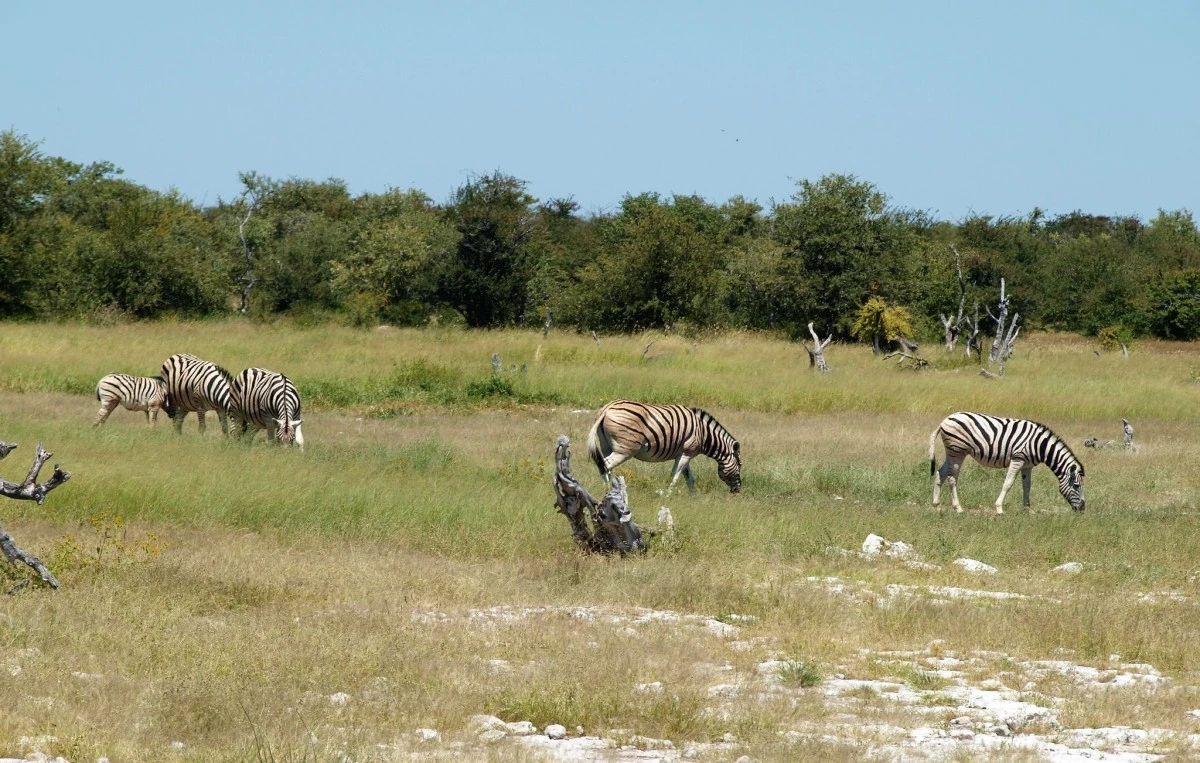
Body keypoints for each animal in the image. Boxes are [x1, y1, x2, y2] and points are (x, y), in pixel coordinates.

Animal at [588, 398, 744, 494]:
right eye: (740, 465)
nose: (738, 490)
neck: (704, 434)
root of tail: (607, 408)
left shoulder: (684, 454)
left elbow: (689, 478)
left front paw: (693, 498)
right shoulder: (686, 453)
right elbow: (674, 476)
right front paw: (667, 495)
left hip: (607, 446)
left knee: (605, 465)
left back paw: (612, 491)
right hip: (625, 450)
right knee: (605, 465)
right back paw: (607, 491)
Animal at [926, 410, 1089, 513]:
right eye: (1076, 486)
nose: (1082, 509)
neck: (1040, 445)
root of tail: (944, 420)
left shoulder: (1028, 465)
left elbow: (1027, 486)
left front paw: (1027, 509)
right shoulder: (1018, 459)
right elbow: (1008, 483)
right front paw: (999, 508)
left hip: (952, 452)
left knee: (941, 473)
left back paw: (936, 505)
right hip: (958, 451)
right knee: (952, 477)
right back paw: (957, 507)